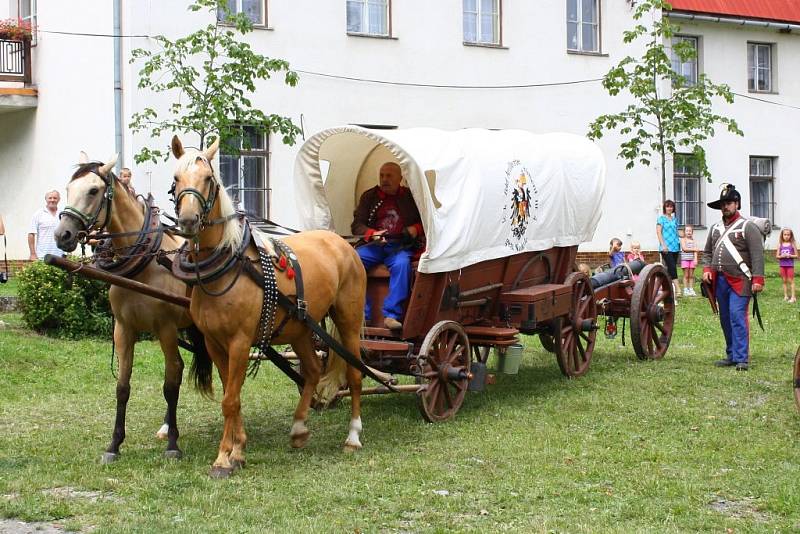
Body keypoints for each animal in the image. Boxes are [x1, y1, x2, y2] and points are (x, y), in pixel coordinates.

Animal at [54, 153, 214, 462]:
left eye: (93, 191)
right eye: (68, 189)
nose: (62, 235)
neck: (146, 264)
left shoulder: (165, 329)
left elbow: (171, 382)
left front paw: (173, 445)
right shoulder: (124, 328)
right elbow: (123, 386)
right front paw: (114, 444)